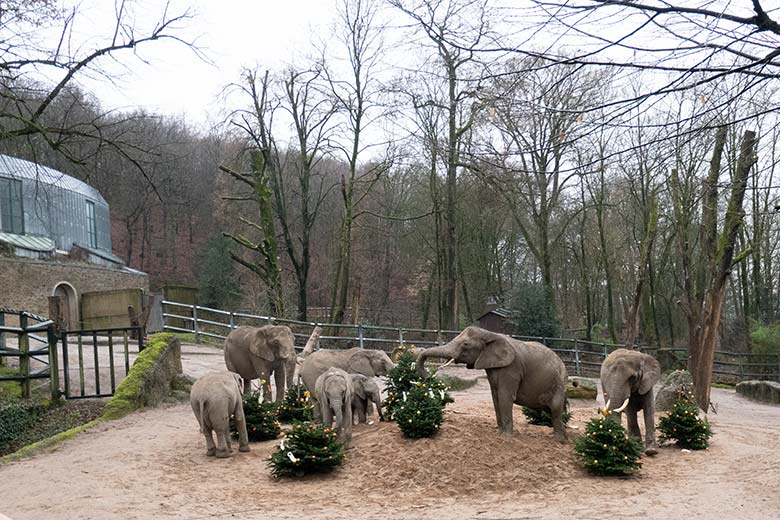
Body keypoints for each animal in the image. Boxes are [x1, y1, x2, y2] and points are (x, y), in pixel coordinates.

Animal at [414, 328, 568, 440]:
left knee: (555, 409)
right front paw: (499, 433)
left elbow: (504, 397)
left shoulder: (512, 368)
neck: (489, 334)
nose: (428, 376)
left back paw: (558, 440)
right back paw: (564, 439)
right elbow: (495, 397)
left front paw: (506, 438)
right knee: (551, 410)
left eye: (465, 344)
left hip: (558, 384)